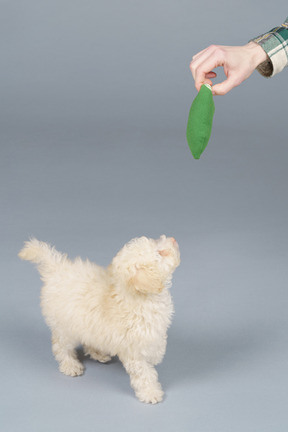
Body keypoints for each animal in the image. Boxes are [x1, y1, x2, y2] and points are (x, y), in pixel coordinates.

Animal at [18, 235, 180, 404]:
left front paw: (156, 356)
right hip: (66, 326)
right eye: (160, 252)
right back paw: (70, 365)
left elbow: (157, 344)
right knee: (61, 346)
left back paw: (98, 353)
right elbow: (144, 374)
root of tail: (57, 269)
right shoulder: (134, 350)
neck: (135, 295)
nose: (173, 239)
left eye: (155, 241)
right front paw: (150, 393)